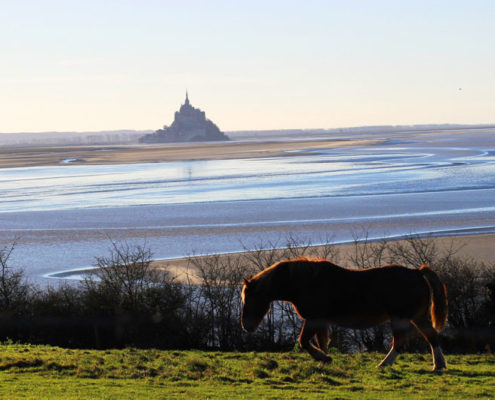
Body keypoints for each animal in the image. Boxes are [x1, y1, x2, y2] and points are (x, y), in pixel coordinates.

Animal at [241, 258, 450, 370]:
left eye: (248, 299)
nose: (246, 326)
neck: (304, 282)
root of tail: (417, 272)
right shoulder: (321, 321)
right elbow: (321, 342)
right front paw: (324, 360)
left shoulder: (314, 319)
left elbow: (304, 341)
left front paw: (323, 358)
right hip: (417, 317)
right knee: (431, 337)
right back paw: (438, 365)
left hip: (401, 318)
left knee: (400, 342)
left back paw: (384, 364)